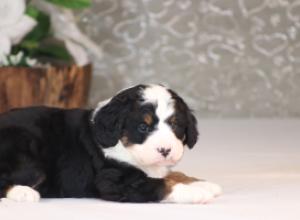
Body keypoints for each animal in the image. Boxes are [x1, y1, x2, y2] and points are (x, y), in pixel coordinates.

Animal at [0, 84, 220, 203]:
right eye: (143, 127)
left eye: (175, 125)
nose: (165, 150)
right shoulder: (115, 181)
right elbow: (160, 184)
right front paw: (195, 192)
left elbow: (173, 174)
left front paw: (203, 183)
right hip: (30, 162)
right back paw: (24, 192)